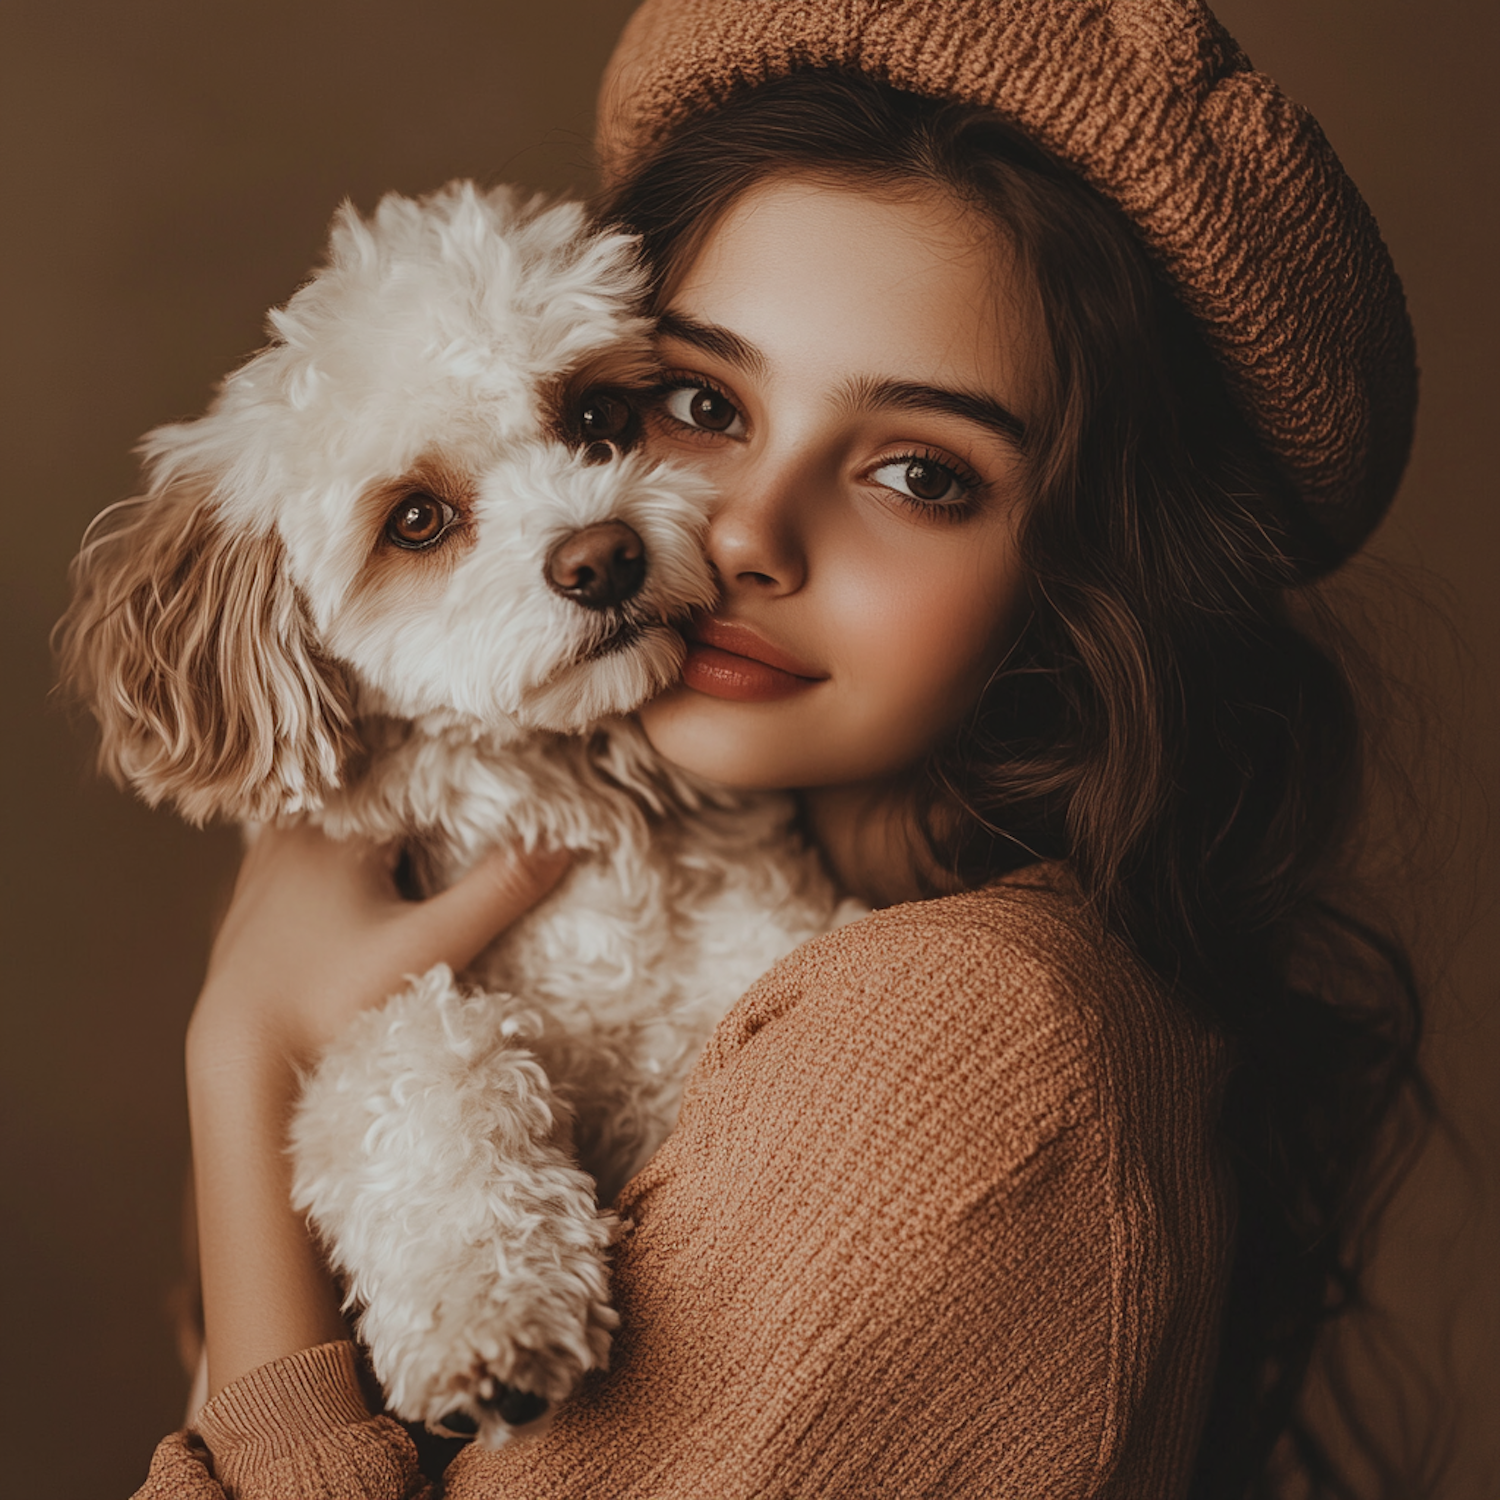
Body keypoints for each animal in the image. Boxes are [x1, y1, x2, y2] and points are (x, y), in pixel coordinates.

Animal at [55, 181, 858, 1446]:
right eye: (418, 520)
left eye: (598, 414)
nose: (604, 558)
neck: (568, 792)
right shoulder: (368, 1018)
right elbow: (427, 1063)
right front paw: (492, 1308)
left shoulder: (743, 943)